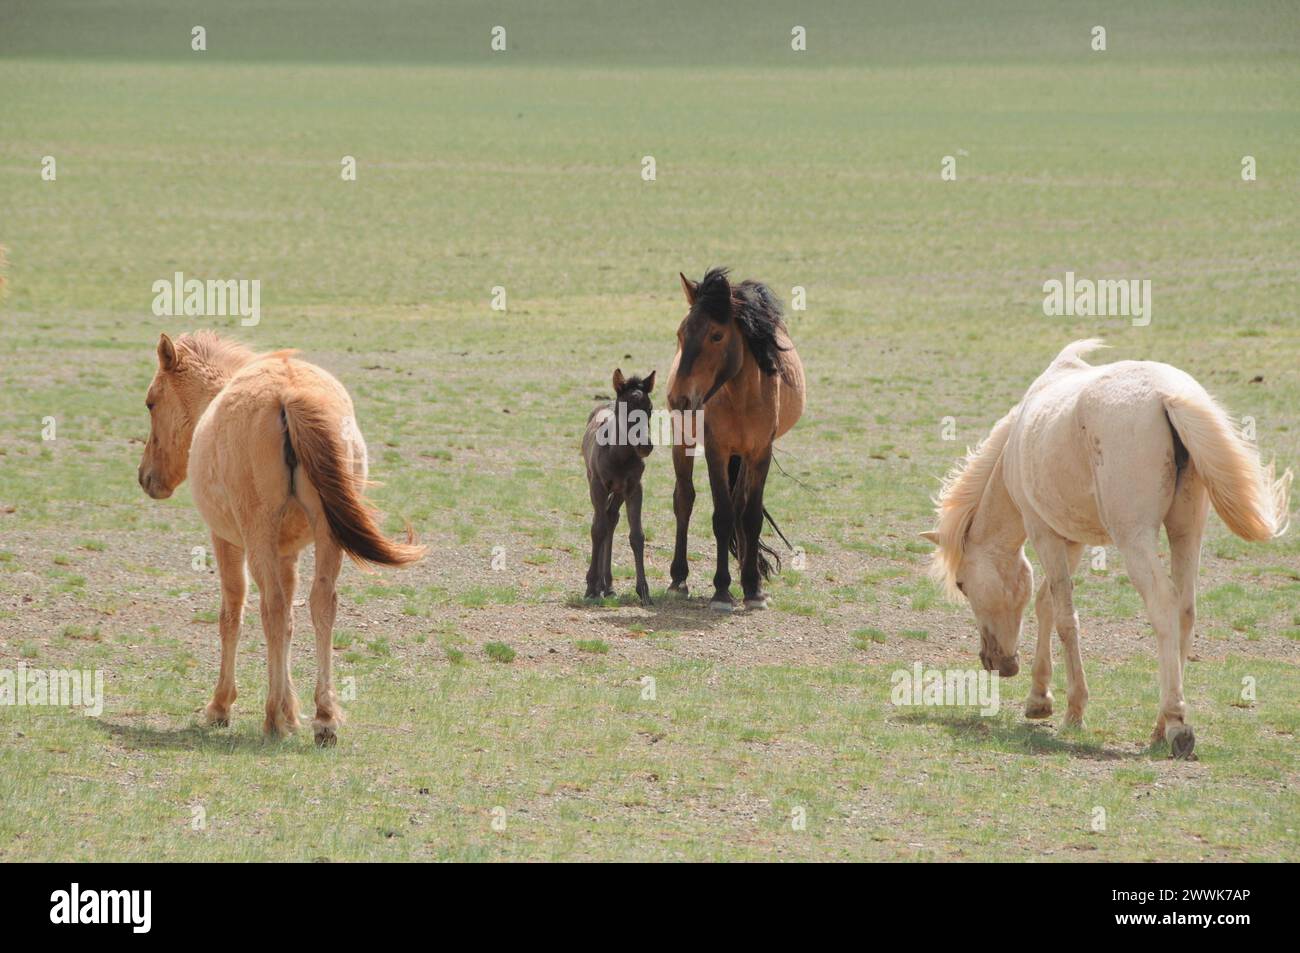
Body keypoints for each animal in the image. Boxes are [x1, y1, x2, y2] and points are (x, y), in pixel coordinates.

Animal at [137, 331, 424, 745]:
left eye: (151, 402)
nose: (146, 477)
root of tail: (289, 393)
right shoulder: (288, 554)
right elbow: (290, 619)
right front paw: (292, 709)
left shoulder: (227, 540)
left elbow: (233, 613)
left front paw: (222, 706)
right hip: (327, 536)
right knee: (322, 604)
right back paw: (324, 718)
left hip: (258, 535)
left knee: (269, 606)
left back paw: (272, 717)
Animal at [581, 369, 655, 604]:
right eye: (626, 408)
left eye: (649, 408)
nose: (645, 446)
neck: (619, 455)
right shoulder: (598, 485)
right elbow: (597, 529)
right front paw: (591, 587)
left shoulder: (634, 488)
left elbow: (637, 536)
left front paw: (644, 591)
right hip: (595, 484)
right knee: (602, 521)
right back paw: (599, 585)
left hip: (619, 491)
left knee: (611, 518)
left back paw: (608, 586)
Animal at [665, 268, 806, 611]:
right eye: (681, 333)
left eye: (716, 335)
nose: (678, 398)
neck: (742, 397)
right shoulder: (716, 451)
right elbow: (723, 515)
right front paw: (721, 590)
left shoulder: (759, 453)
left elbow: (749, 515)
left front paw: (753, 588)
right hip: (683, 442)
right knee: (684, 499)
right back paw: (679, 579)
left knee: (740, 503)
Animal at [922, 340, 1292, 759]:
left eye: (962, 584)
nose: (993, 663)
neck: (1012, 450)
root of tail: (1166, 394)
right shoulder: (1072, 540)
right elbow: (1046, 603)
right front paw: (1039, 699)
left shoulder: (1043, 532)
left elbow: (1065, 618)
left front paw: (1074, 711)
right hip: (1186, 531)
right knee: (1185, 610)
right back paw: (1159, 726)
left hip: (1134, 538)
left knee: (1163, 603)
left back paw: (1176, 724)